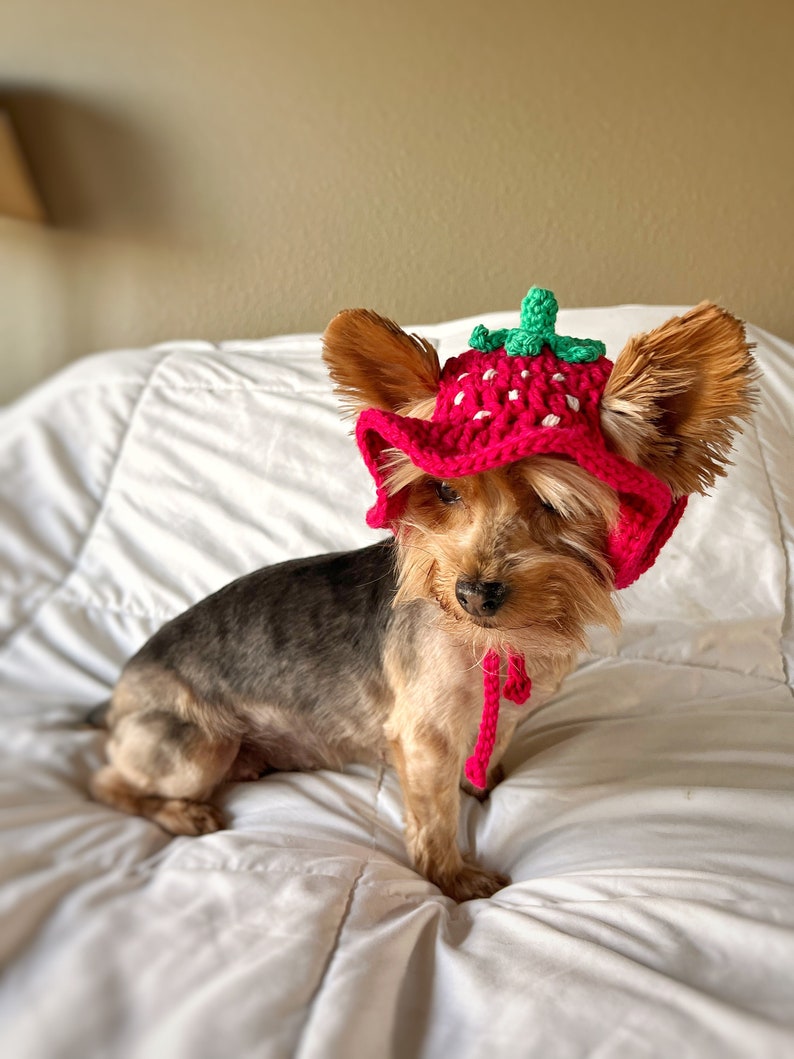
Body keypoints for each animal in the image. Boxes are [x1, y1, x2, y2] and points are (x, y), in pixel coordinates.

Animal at [91, 290, 758, 902]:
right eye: (443, 491)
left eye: (555, 505)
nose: (473, 593)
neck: (496, 645)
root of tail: (119, 693)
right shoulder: (425, 733)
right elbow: (435, 815)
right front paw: (454, 879)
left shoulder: (506, 712)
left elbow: (490, 749)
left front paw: (481, 783)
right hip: (194, 744)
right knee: (112, 782)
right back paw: (181, 811)